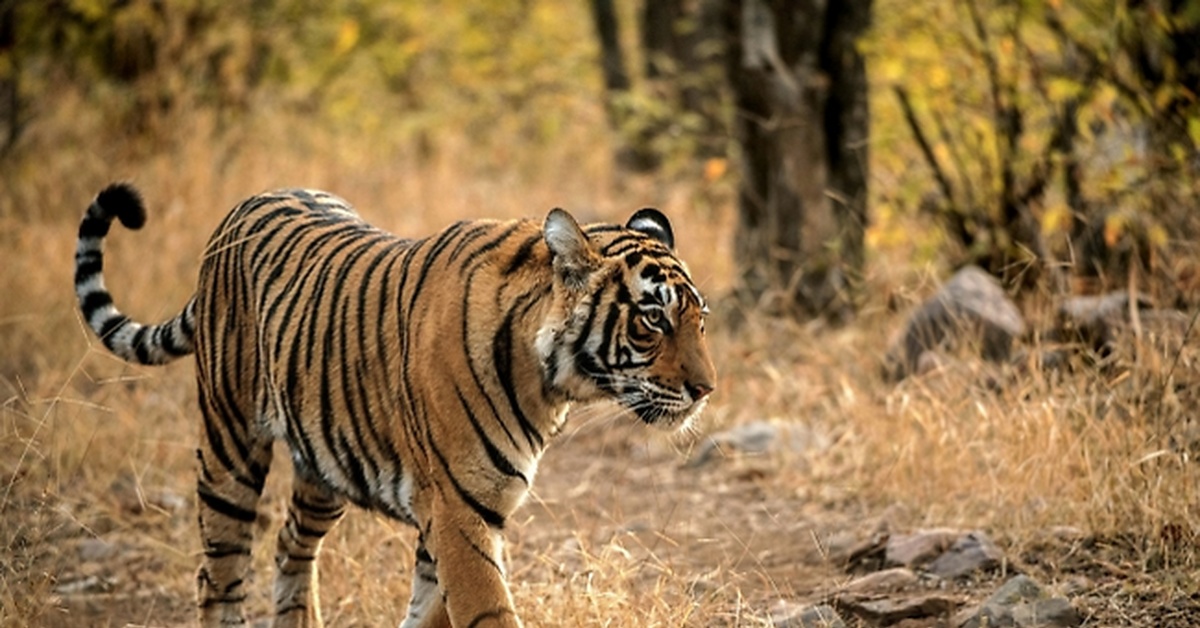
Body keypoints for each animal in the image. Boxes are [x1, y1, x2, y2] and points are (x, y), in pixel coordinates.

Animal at [75, 182, 715, 628]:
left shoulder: (465, 512)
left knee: (290, 545)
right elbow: (487, 610)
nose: (707, 389)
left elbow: (431, 610)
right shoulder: (458, 511)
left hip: (326, 465)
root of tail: (242, 206)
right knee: (220, 573)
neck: (548, 384)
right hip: (230, 445)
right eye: (653, 319)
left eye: (699, 318)